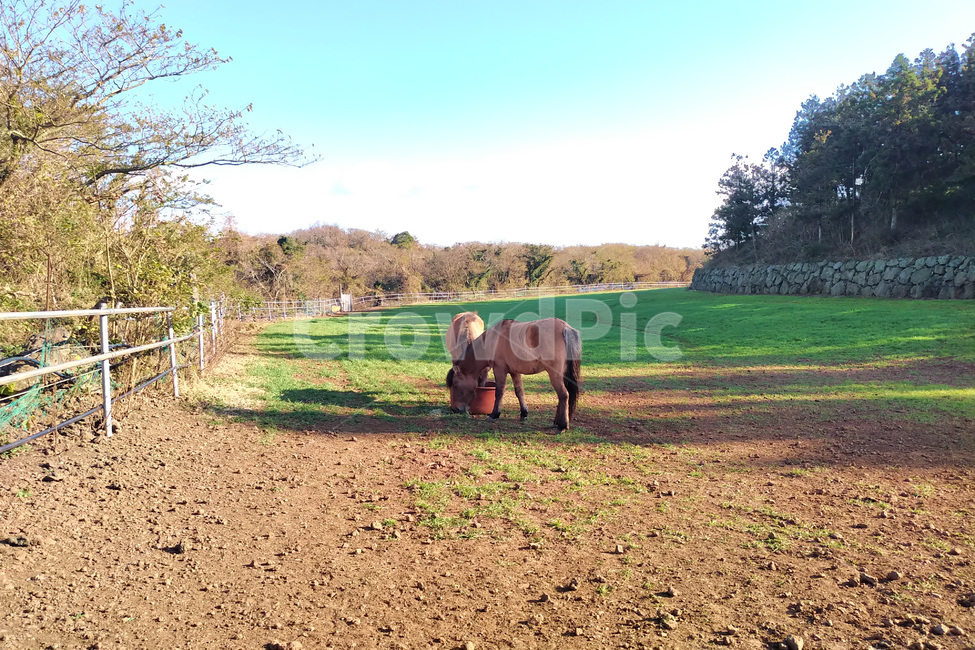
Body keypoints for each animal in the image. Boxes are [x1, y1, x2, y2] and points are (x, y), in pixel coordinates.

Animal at [447, 317, 581, 431]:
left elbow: (499, 392)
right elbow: (519, 392)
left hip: (554, 374)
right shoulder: (514, 372)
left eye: (456, 385)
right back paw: (557, 422)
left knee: (563, 394)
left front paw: (494, 414)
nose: (458, 409)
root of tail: (565, 327)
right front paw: (524, 414)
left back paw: (562, 425)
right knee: (562, 395)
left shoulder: (500, 369)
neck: (493, 339)